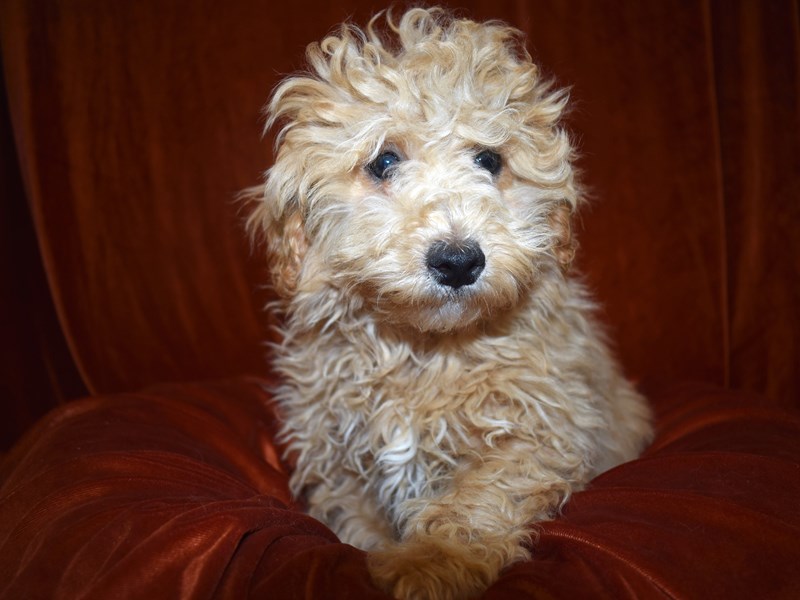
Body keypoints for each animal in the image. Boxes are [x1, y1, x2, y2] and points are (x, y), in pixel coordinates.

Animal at [247, 5, 652, 600]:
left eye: (489, 159)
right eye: (383, 161)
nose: (459, 261)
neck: (422, 352)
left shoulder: (540, 434)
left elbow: (480, 500)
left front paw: (430, 563)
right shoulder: (336, 462)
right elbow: (352, 523)